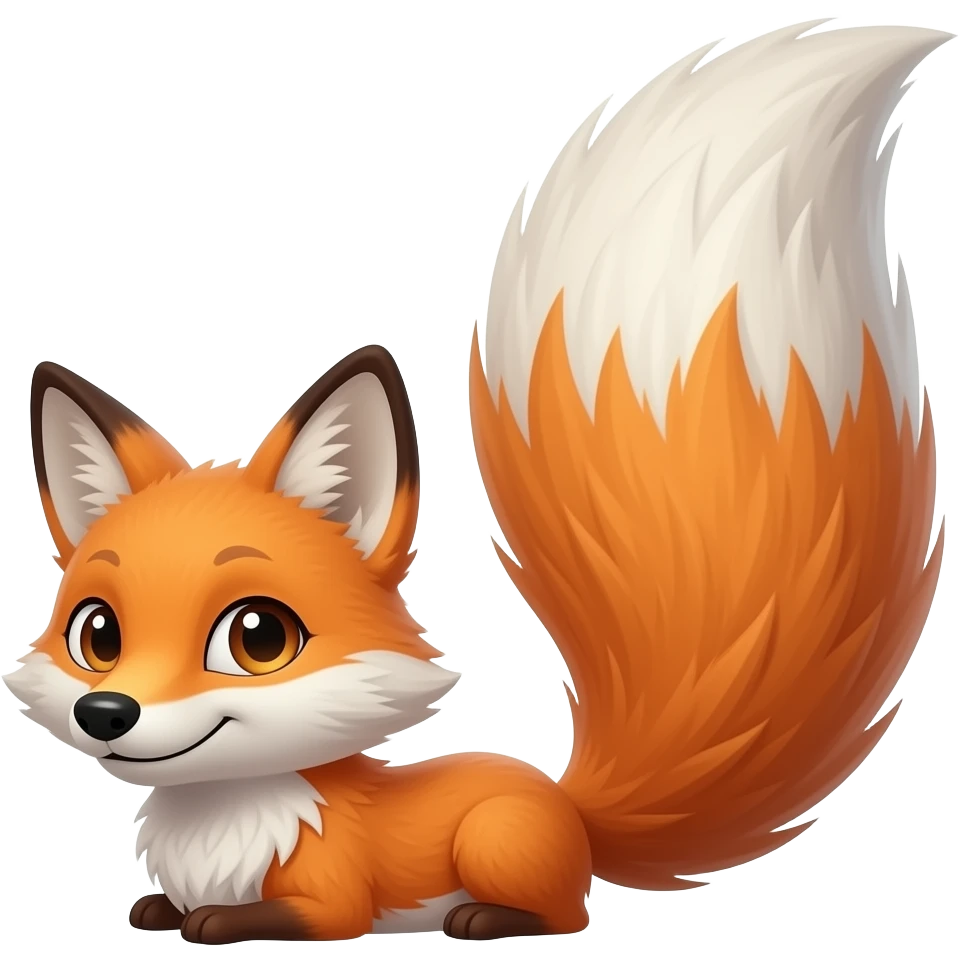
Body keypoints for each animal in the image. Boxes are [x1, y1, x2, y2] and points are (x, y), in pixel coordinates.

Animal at [6, 20, 951, 945]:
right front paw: (158, 909)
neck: (220, 825)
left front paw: (219, 918)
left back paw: (488, 918)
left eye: (258, 638)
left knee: (569, 914)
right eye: (97, 634)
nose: (108, 714)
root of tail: (567, 805)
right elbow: (161, 909)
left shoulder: (336, 901)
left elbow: (287, 918)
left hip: (497, 840)